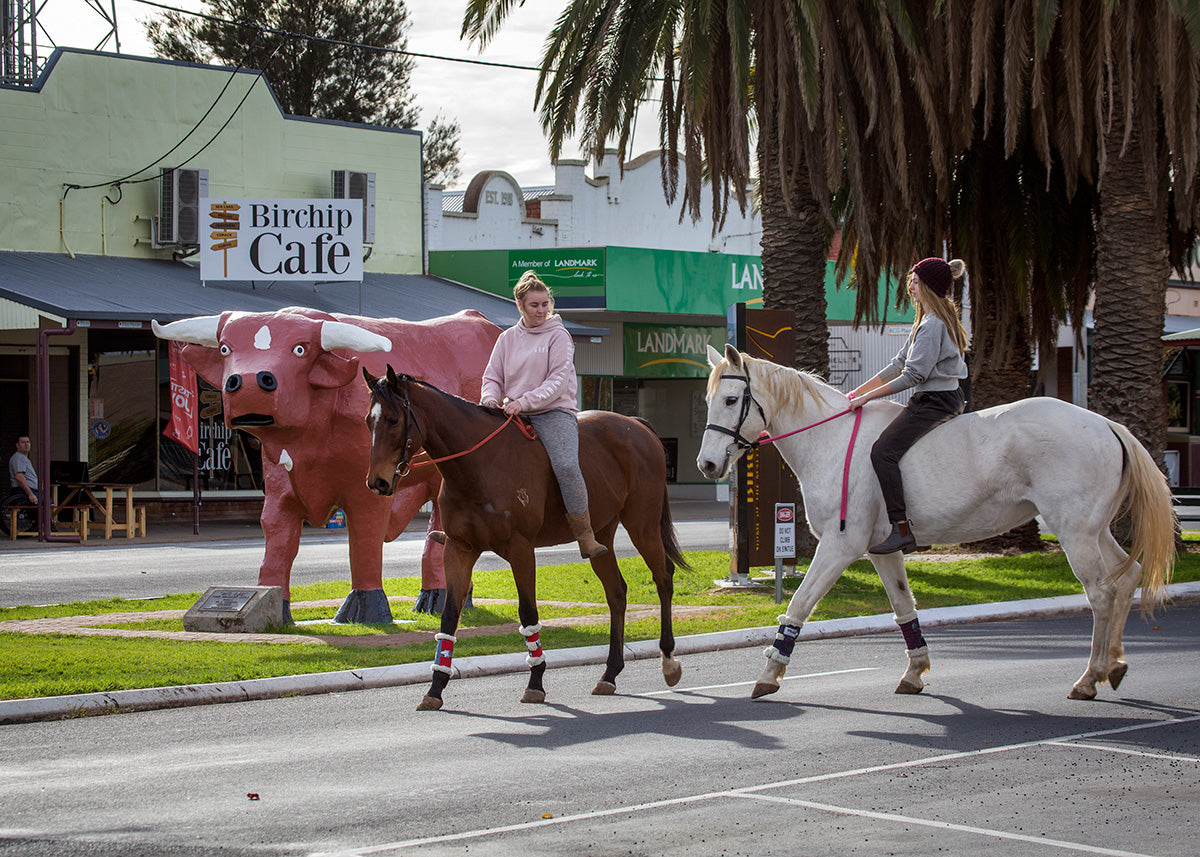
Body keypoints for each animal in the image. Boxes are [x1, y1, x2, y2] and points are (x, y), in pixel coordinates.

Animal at [360, 364, 691, 705]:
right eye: (368, 421)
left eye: (393, 420)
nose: (377, 482)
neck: (479, 465)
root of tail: (637, 426)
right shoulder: (459, 549)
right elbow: (449, 615)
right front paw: (435, 688)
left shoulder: (520, 549)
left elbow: (527, 611)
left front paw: (536, 681)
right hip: (602, 536)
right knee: (616, 592)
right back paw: (609, 673)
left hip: (643, 525)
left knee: (664, 578)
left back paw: (668, 661)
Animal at [700, 343, 1176, 700]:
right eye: (708, 400)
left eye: (730, 400)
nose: (706, 465)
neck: (830, 440)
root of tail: (1106, 424)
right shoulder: (880, 550)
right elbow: (903, 606)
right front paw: (915, 672)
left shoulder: (839, 547)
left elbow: (799, 604)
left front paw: (769, 675)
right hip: (1094, 530)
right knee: (1127, 576)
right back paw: (1114, 665)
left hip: (1075, 533)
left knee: (1101, 593)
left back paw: (1090, 678)